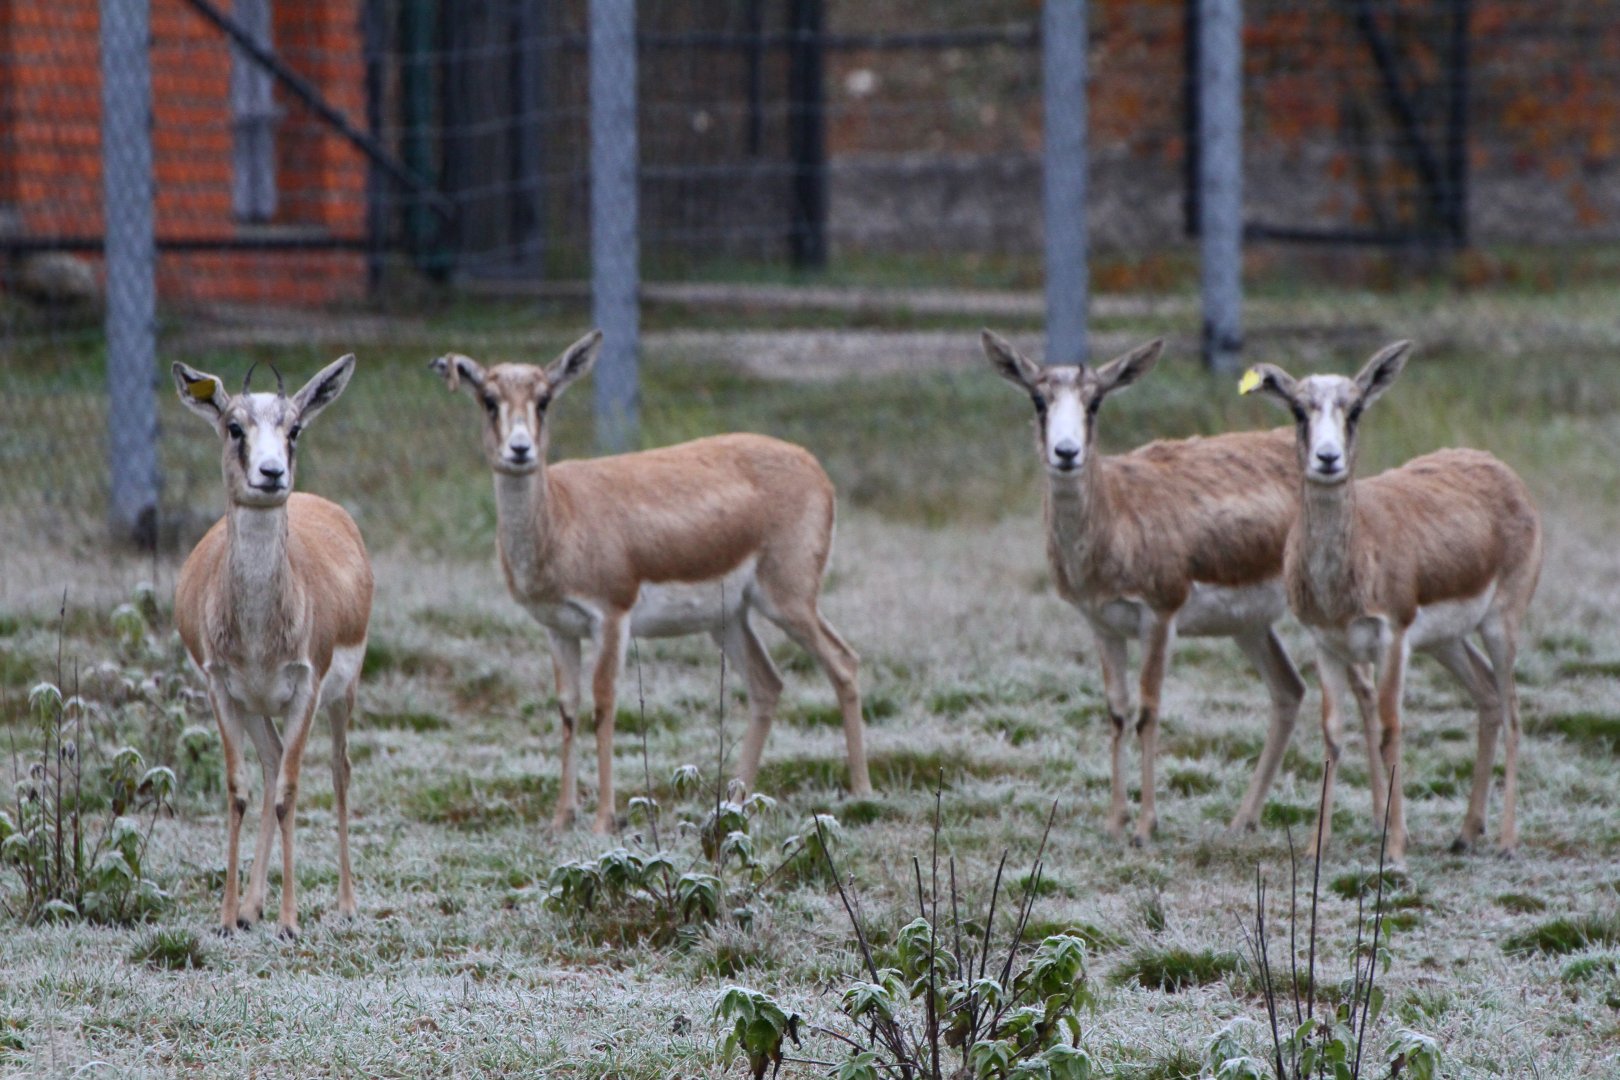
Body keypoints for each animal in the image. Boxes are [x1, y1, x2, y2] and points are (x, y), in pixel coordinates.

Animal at [172, 356, 373, 937]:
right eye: (234, 426)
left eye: (295, 428)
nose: (271, 474)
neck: (260, 630)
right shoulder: (221, 688)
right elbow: (241, 789)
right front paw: (226, 916)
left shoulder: (307, 687)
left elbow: (288, 793)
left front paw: (289, 921)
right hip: (258, 707)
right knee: (271, 761)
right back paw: (250, 907)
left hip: (342, 694)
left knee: (337, 770)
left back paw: (344, 905)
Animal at [429, 330, 871, 834]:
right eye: (488, 399)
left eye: (543, 400)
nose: (520, 450)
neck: (560, 516)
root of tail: (813, 466)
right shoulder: (557, 628)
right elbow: (568, 709)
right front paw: (561, 818)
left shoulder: (611, 617)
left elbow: (604, 705)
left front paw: (603, 820)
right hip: (729, 620)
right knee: (768, 684)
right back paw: (733, 805)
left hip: (788, 601)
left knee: (843, 662)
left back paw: (861, 792)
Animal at [982, 331, 1381, 846]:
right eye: (1038, 399)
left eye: (1095, 401)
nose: (1066, 453)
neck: (1115, 517)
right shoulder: (1102, 624)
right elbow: (1117, 711)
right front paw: (1114, 822)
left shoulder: (1159, 616)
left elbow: (1149, 710)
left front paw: (1145, 827)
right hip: (1250, 627)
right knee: (1290, 690)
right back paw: (1242, 819)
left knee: (1365, 690)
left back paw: (1376, 819)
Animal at [1243, 342, 1542, 863]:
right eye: (1299, 409)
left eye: (1355, 408)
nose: (1327, 458)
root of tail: (1499, 469)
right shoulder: (1327, 645)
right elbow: (1332, 732)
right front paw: (1316, 845)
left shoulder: (1393, 640)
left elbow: (1389, 731)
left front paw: (1397, 848)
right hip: (1446, 642)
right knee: (1486, 694)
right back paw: (1466, 833)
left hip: (1501, 625)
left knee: (1513, 709)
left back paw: (1506, 842)